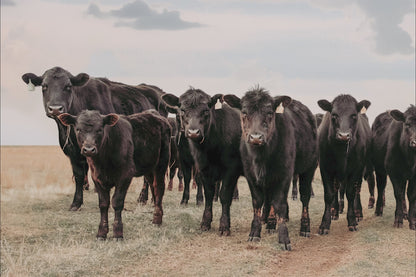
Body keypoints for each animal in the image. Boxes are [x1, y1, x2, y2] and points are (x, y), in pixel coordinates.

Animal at [22, 66, 166, 209]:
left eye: (68, 86)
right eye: (44, 86)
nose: (56, 109)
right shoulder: (72, 152)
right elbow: (79, 175)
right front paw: (76, 203)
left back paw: (144, 198)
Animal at [57, 109, 170, 238]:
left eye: (100, 129)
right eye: (78, 129)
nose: (89, 150)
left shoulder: (125, 176)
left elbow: (117, 202)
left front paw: (117, 232)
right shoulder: (96, 177)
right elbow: (103, 203)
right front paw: (101, 232)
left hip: (161, 163)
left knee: (159, 188)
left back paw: (157, 220)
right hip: (148, 167)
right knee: (153, 186)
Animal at [161, 87, 242, 234]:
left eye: (205, 110)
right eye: (182, 110)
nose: (193, 132)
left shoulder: (231, 169)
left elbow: (225, 195)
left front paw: (224, 225)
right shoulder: (197, 165)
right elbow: (206, 191)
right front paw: (205, 221)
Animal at [224, 88, 318, 250]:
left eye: (269, 113)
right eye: (244, 112)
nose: (256, 137)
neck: (261, 158)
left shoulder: (285, 174)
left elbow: (279, 203)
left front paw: (284, 238)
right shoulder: (251, 175)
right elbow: (257, 202)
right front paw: (255, 232)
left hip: (309, 168)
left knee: (305, 197)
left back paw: (305, 228)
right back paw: (271, 224)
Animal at [316, 94, 372, 233]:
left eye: (354, 115)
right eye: (334, 115)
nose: (344, 135)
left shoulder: (356, 168)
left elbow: (351, 193)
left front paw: (352, 221)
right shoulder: (325, 167)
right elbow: (329, 194)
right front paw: (325, 223)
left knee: (357, 190)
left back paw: (358, 213)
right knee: (336, 188)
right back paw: (335, 211)